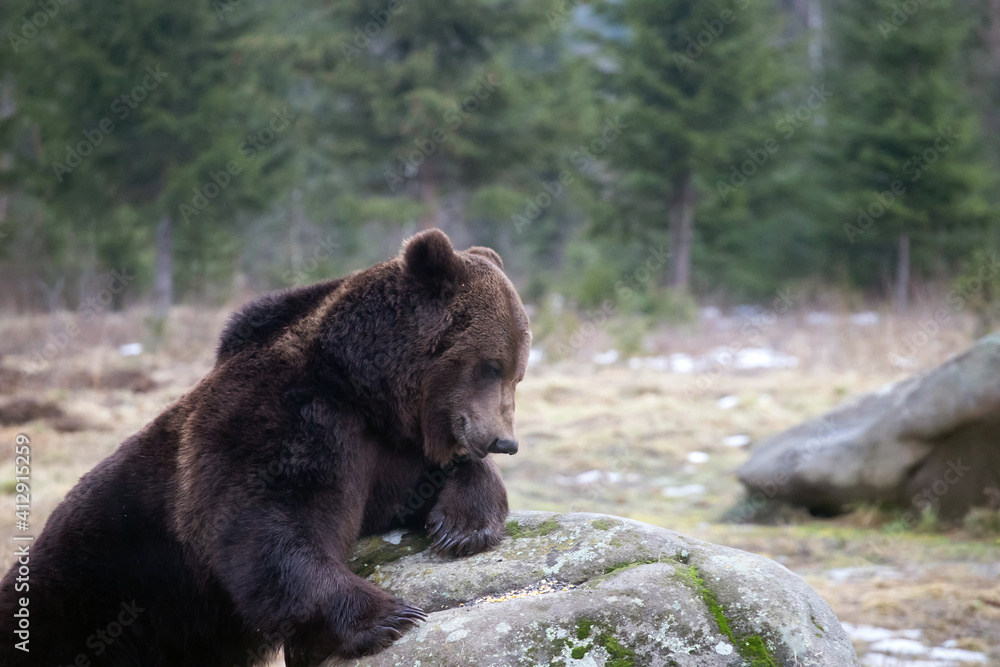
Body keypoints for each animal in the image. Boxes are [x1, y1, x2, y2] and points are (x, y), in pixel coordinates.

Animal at [0, 228, 531, 667]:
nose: (505, 441)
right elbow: (268, 526)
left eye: (517, 372)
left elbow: (420, 486)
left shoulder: (381, 451)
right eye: (491, 365)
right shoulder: (277, 420)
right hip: (88, 595)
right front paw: (389, 616)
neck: (361, 386)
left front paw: (461, 527)